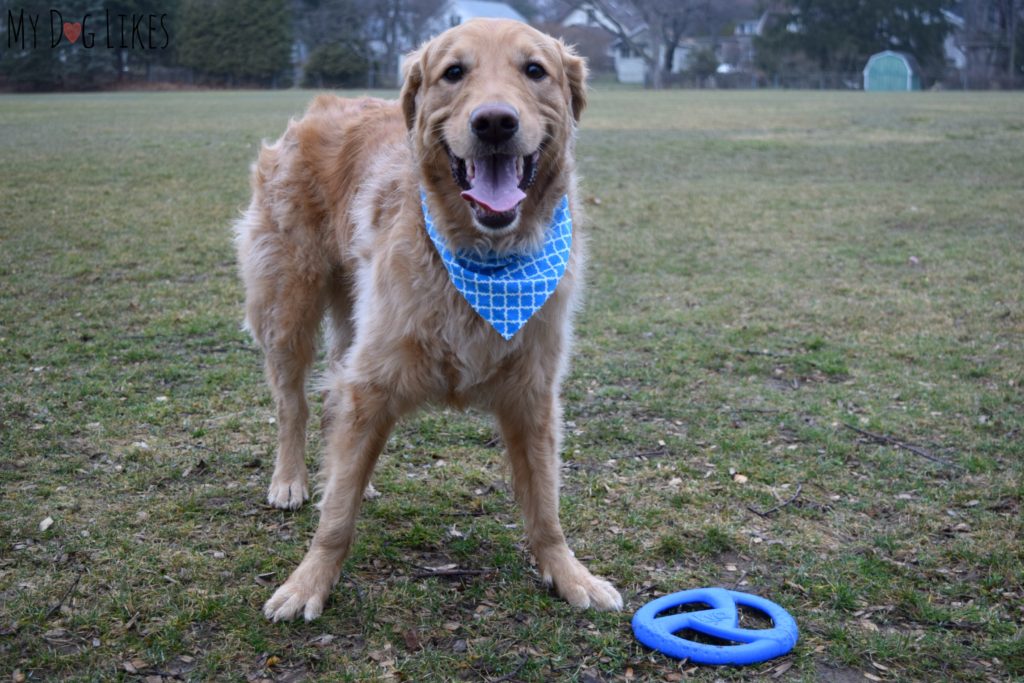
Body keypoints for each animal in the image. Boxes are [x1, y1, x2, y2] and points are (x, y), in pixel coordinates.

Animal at [235, 18, 618, 622]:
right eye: (453, 72)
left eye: (535, 70)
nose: (494, 122)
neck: (484, 259)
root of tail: (325, 105)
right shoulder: (371, 381)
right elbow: (336, 519)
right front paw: (309, 581)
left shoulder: (533, 393)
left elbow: (545, 507)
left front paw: (568, 573)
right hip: (287, 310)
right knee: (292, 404)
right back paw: (291, 480)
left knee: (330, 406)